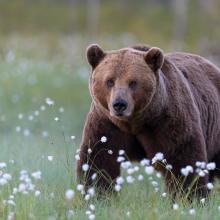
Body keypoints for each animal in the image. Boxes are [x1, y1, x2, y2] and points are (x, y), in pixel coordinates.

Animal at [76, 43, 220, 197]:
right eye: (109, 81)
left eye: (133, 82)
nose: (119, 104)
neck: (135, 122)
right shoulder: (107, 125)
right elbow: (99, 161)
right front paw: (97, 194)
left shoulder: (167, 122)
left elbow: (183, 160)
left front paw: (188, 196)